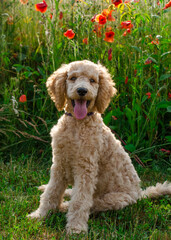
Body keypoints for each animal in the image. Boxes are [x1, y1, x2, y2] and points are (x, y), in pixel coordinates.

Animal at [28, 60, 171, 234]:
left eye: (92, 80)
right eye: (73, 78)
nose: (82, 91)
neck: (77, 124)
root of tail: (140, 194)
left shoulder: (86, 169)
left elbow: (80, 200)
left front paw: (76, 228)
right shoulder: (59, 165)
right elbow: (51, 193)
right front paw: (39, 215)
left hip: (114, 199)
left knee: (91, 204)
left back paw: (63, 207)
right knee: (72, 193)